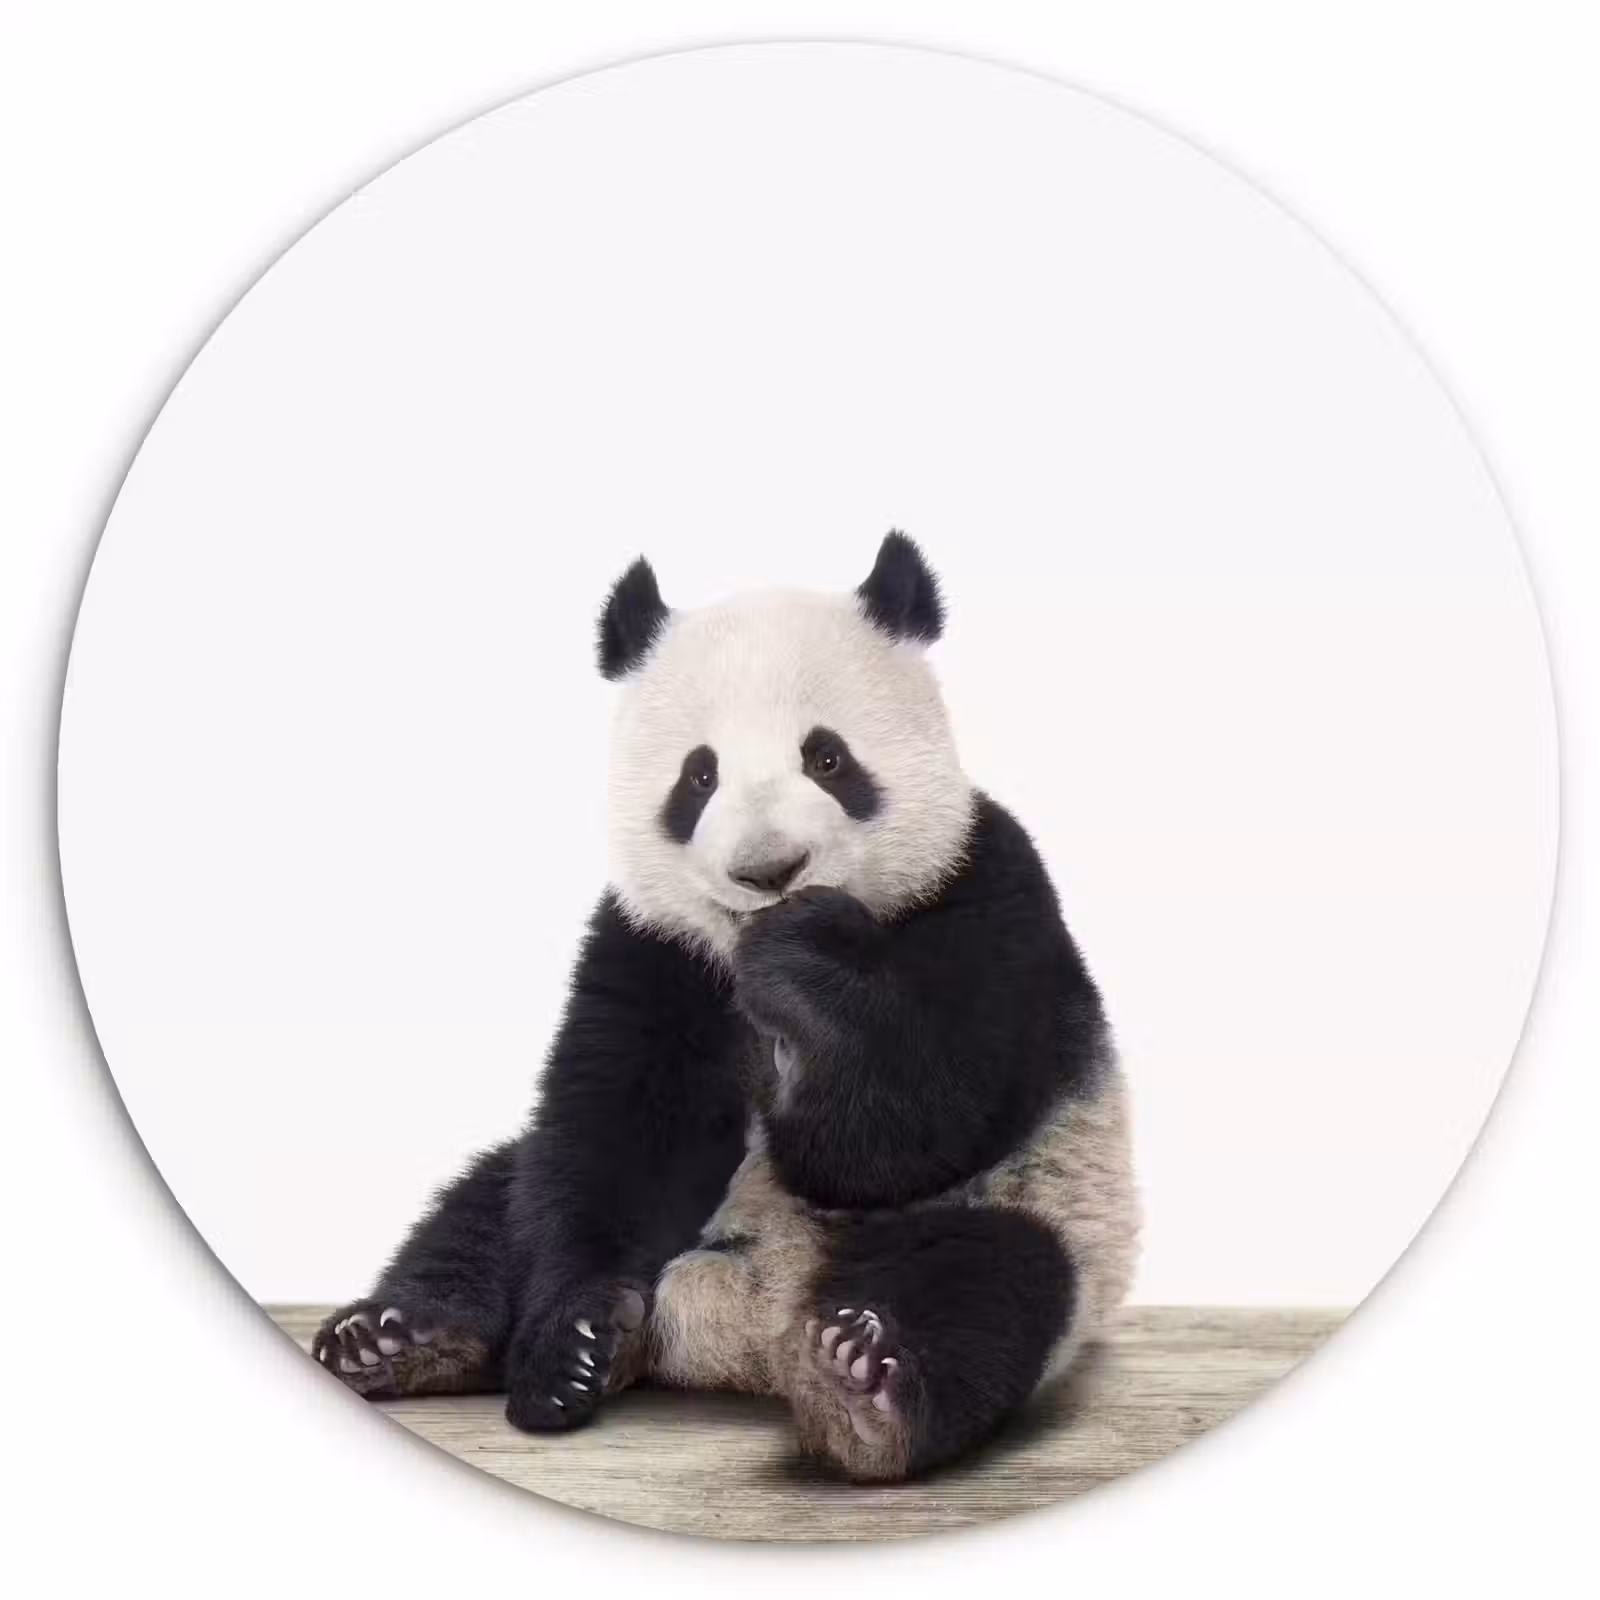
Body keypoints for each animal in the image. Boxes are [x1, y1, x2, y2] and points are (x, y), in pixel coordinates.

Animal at [314, 532, 1139, 1482]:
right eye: (698, 776)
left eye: (828, 758)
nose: (768, 870)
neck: (740, 951)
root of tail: (743, 1333)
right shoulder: (653, 947)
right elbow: (620, 1136)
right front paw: (572, 1346)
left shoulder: (986, 890)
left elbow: (909, 1127)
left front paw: (807, 964)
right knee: (489, 1205)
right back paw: (403, 1339)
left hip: (1041, 1209)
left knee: (987, 1284)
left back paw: (862, 1387)